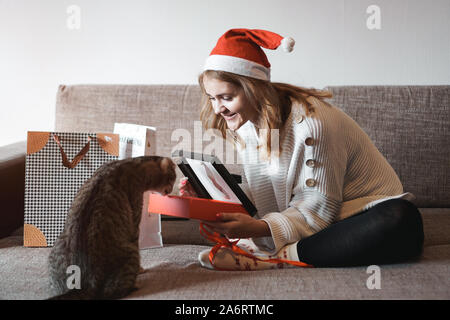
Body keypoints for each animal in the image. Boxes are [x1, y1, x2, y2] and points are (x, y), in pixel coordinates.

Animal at [47, 156, 177, 300]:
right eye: (173, 178)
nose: (172, 190)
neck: (136, 166)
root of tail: (85, 283)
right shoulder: (135, 223)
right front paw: (141, 270)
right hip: (131, 254)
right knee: (111, 293)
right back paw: (134, 286)